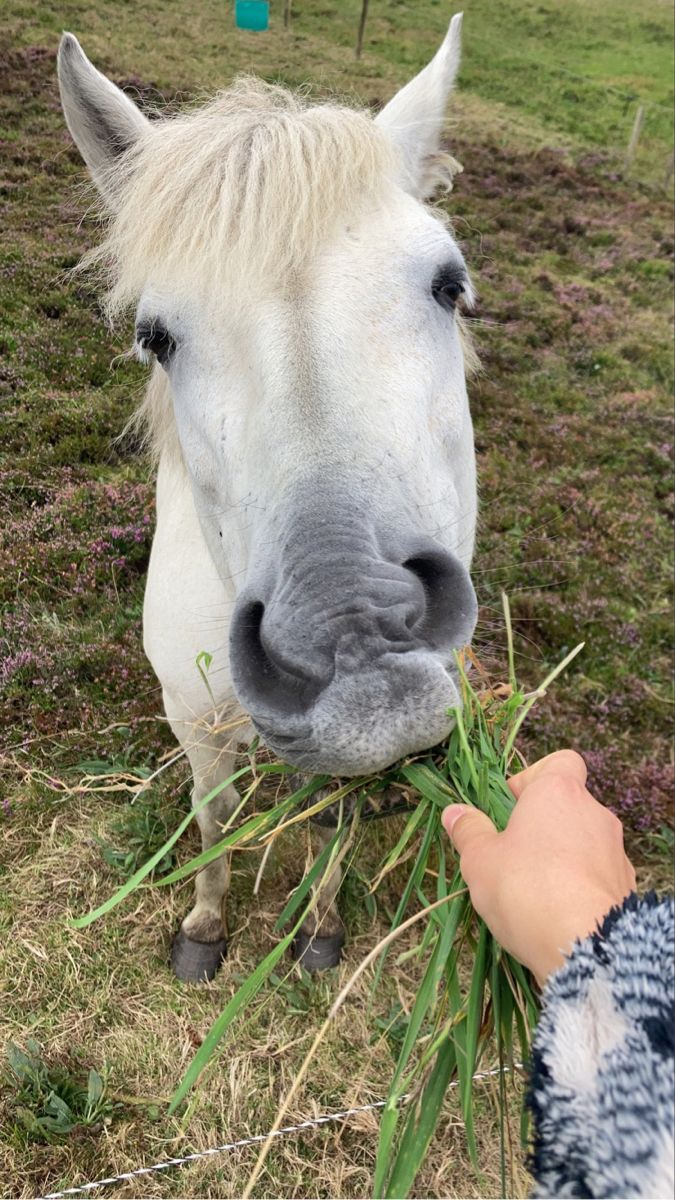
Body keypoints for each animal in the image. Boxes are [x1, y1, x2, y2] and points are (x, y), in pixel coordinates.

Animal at [59, 14, 478, 979]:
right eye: (156, 337)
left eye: (449, 285)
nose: (356, 635)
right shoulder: (190, 716)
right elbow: (214, 820)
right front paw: (205, 929)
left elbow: (327, 821)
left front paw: (319, 928)